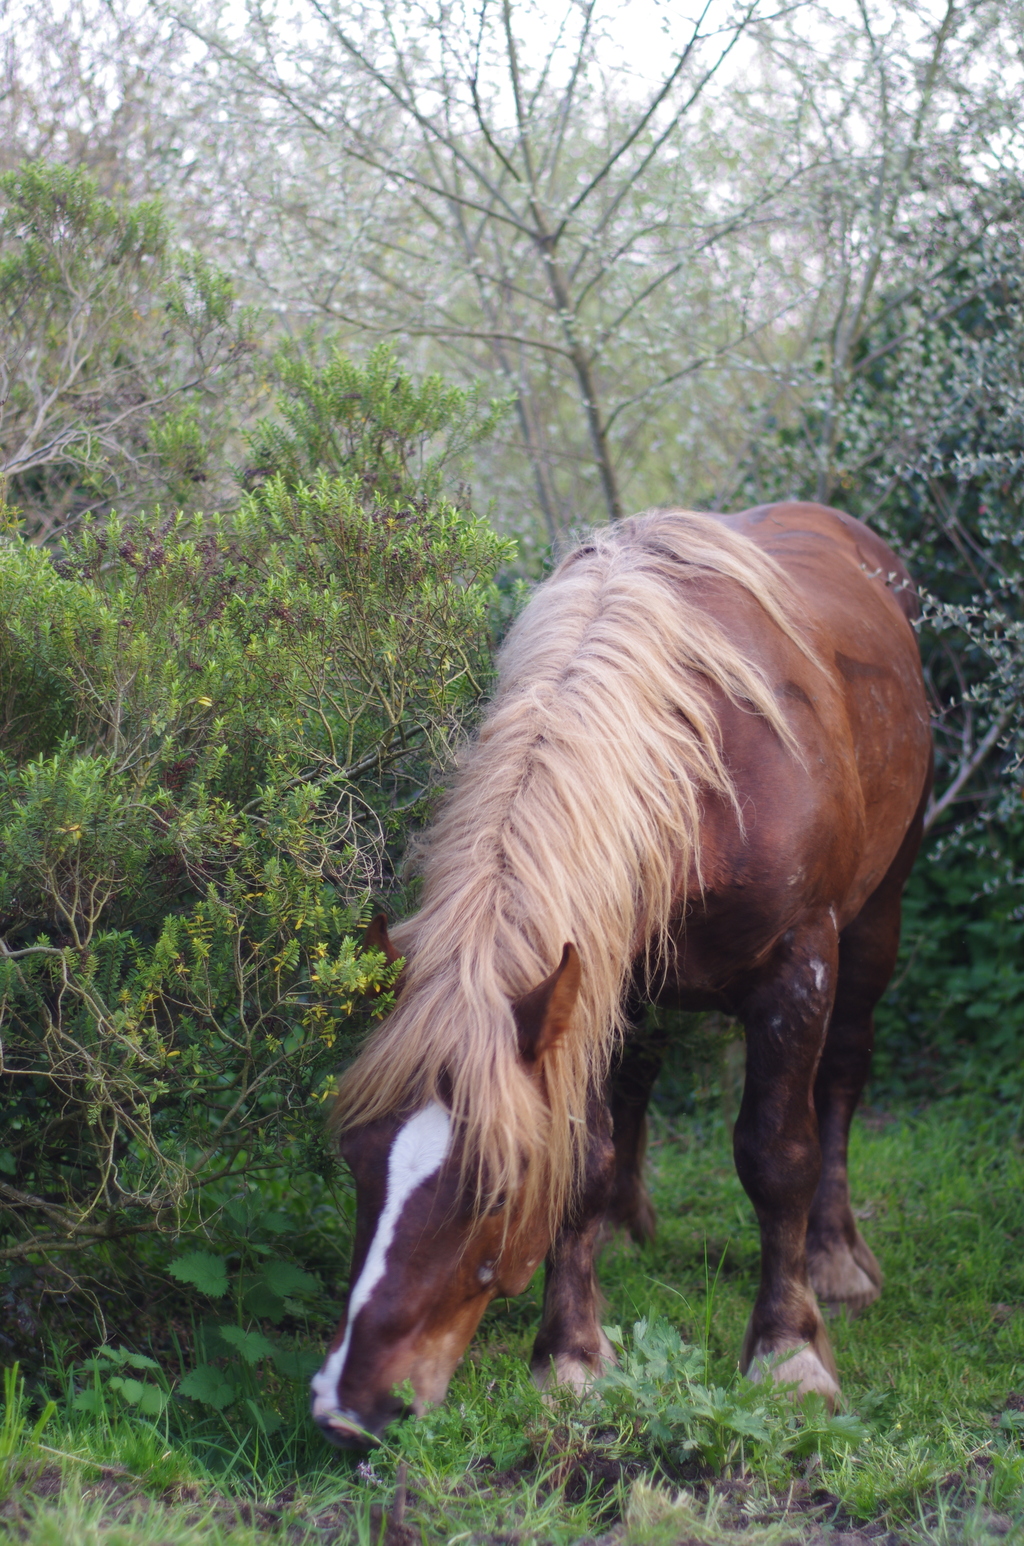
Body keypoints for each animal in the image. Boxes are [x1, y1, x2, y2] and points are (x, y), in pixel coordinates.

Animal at [309, 500, 934, 1440]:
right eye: (357, 1158)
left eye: (498, 1192)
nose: (350, 1406)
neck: (704, 764)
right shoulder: (603, 972)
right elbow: (590, 1154)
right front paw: (571, 1352)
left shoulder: (800, 966)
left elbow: (776, 1153)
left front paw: (788, 1351)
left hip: (877, 915)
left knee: (843, 1078)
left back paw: (836, 1257)